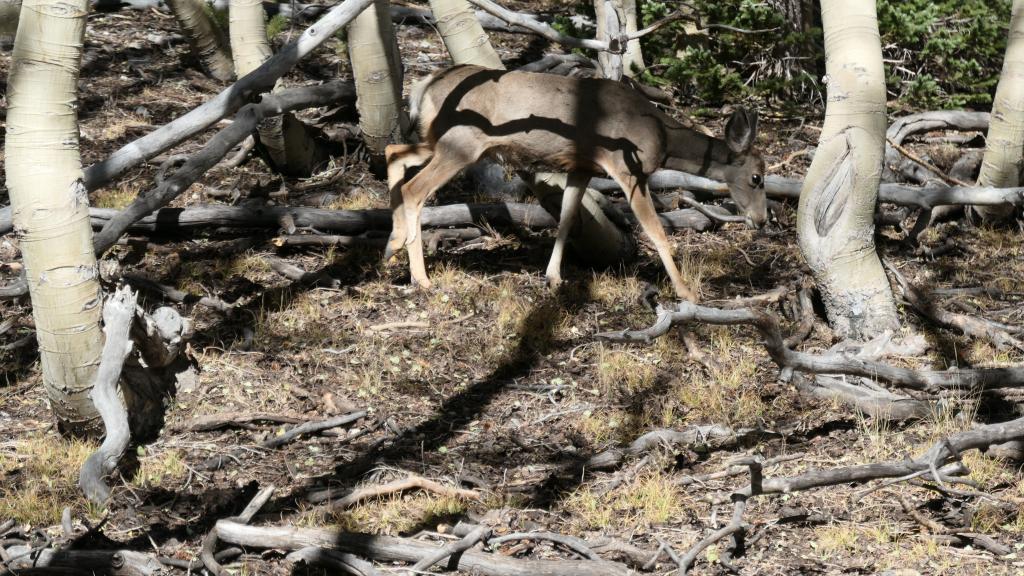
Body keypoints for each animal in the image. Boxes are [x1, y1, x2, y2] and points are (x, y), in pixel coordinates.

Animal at [380, 65, 765, 301]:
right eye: (757, 177)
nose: (762, 220)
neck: (663, 139)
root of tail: (425, 84)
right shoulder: (628, 169)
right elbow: (656, 230)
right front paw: (686, 291)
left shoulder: (581, 167)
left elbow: (567, 220)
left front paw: (553, 277)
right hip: (461, 143)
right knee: (414, 189)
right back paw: (420, 276)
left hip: (436, 138)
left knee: (394, 152)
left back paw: (392, 245)